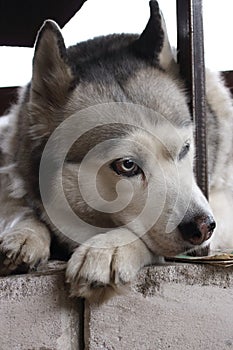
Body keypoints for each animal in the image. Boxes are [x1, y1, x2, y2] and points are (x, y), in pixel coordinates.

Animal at [0, 0, 233, 302]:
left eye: (185, 149)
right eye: (127, 165)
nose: (203, 227)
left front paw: (111, 248)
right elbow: (18, 206)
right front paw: (24, 234)